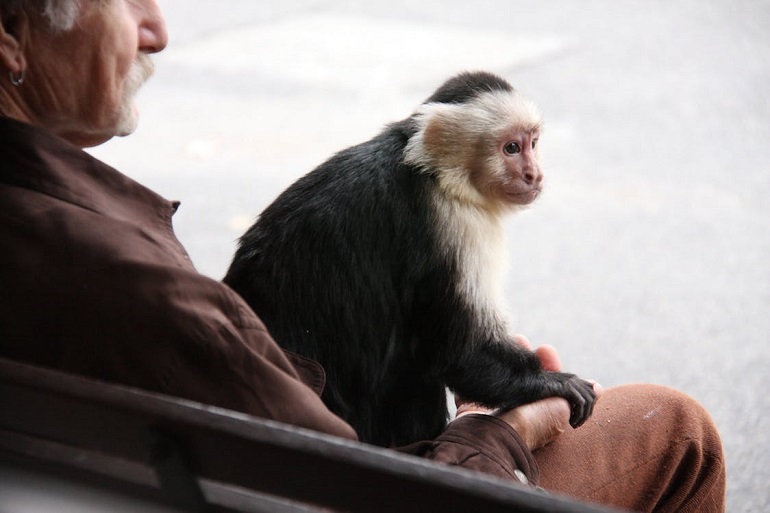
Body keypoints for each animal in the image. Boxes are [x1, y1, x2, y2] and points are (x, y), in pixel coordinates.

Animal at [222, 70, 592, 446]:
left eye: (533, 143)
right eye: (511, 148)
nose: (535, 174)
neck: (433, 172)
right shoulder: (454, 221)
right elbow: (459, 352)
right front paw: (549, 383)